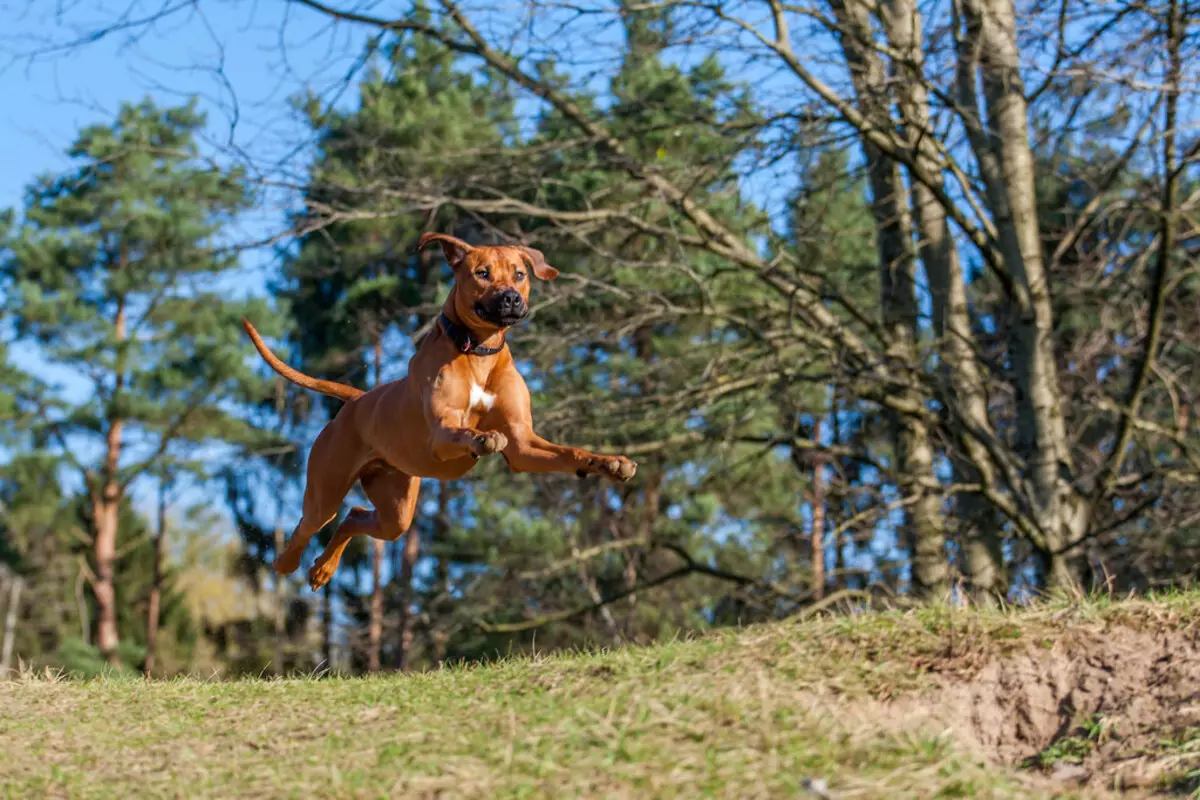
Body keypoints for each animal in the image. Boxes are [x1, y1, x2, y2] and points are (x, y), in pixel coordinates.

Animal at [241, 235, 638, 592]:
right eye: (482, 273)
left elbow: (568, 451)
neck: (479, 351)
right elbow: (463, 431)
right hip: (326, 487)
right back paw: (286, 562)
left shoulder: (523, 443)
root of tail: (358, 400)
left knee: (355, 518)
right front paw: (481, 437)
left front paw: (608, 462)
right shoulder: (441, 435)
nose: (511, 297)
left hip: (396, 506)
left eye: (519, 273)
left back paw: (323, 568)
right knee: (308, 525)